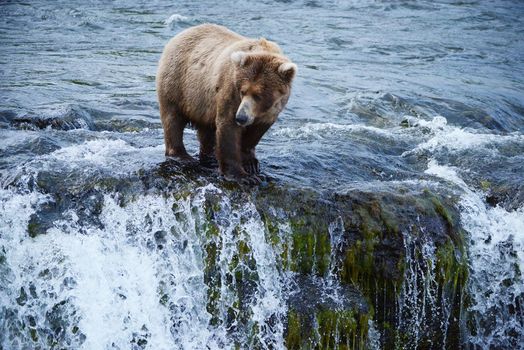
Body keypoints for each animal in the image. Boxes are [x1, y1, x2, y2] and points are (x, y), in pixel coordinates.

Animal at [155, 23, 294, 183]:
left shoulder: (271, 109)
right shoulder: (230, 90)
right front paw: (242, 176)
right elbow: (228, 127)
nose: (241, 117)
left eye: (258, 95)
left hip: (204, 101)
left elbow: (255, 132)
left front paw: (250, 163)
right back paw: (182, 156)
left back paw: (209, 157)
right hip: (177, 83)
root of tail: (180, 35)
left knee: (206, 130)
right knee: (173, 119)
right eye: (243, 91)